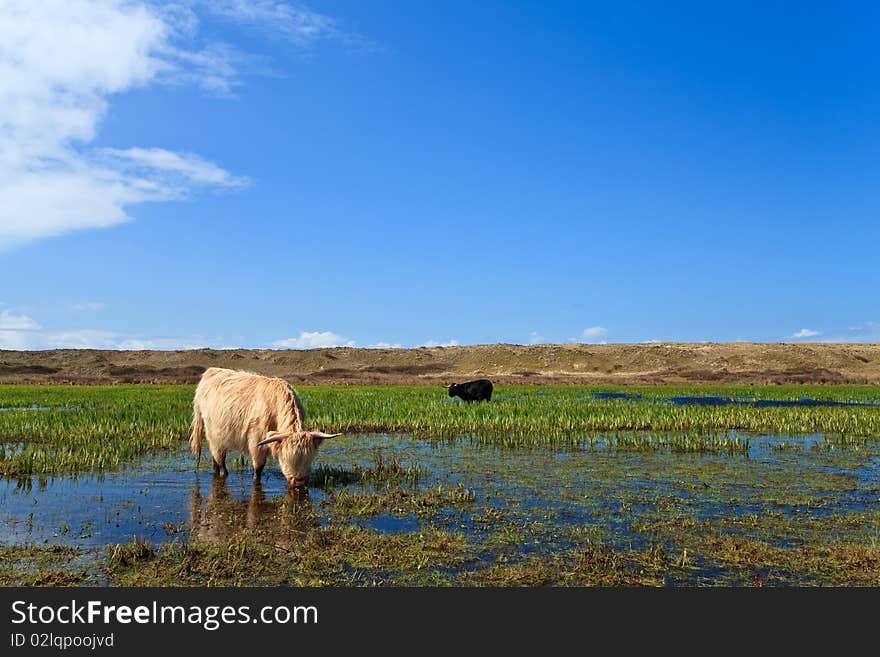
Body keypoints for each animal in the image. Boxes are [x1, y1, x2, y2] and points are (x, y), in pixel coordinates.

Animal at [190, 368, 340, 486]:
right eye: (285, 459)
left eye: (309, 459)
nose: (298, 482)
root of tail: (210, 372)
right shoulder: (256, 441)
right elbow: (258, 468)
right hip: (214, 435)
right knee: (220, 461)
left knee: (215, 460)